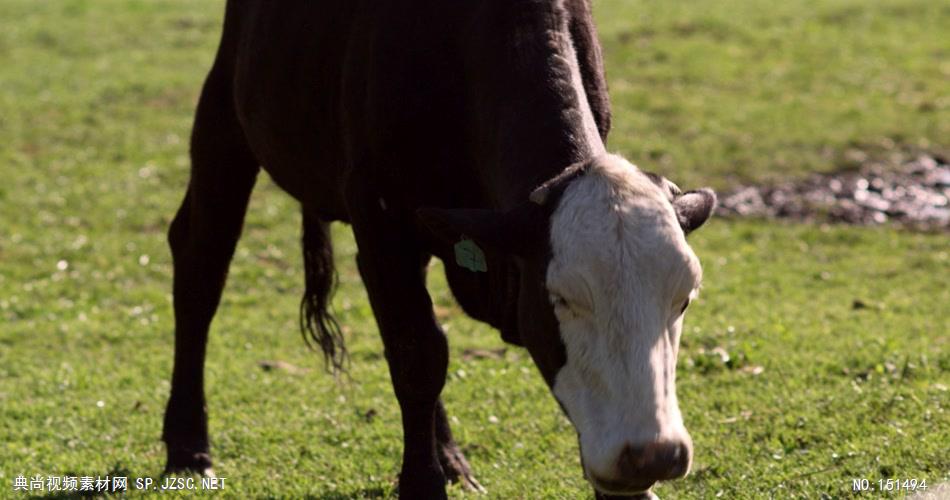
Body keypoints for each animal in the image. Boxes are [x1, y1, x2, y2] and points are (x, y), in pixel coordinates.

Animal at [160, 0, 716, 496]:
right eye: (560, 298)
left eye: (683, 300)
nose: (654, 454)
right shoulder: (381, 225)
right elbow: (417, 356)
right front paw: (420, 484)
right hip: (224, 116)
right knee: (199, 264)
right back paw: (187, 448)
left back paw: (448, 456)